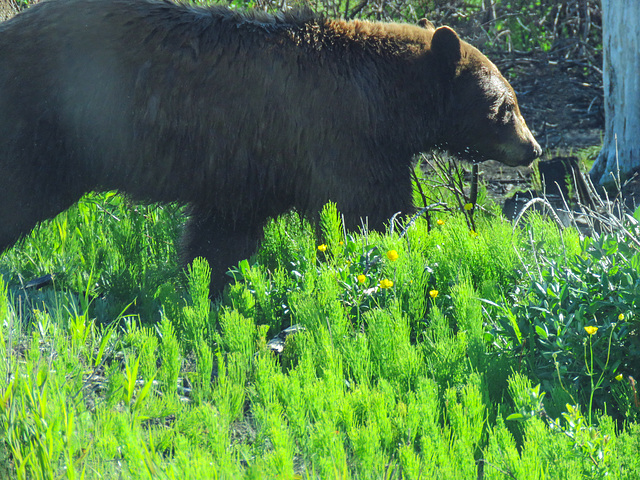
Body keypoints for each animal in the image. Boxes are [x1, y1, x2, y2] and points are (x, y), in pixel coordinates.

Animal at [0, 0, 540, 292]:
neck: (386, 101)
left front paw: (208, 285)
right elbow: (366, 210)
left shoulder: (250, 169)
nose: (533, 149)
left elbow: (223, 234)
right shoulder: (338, 138)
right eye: (506, 106)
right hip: (47, 128)